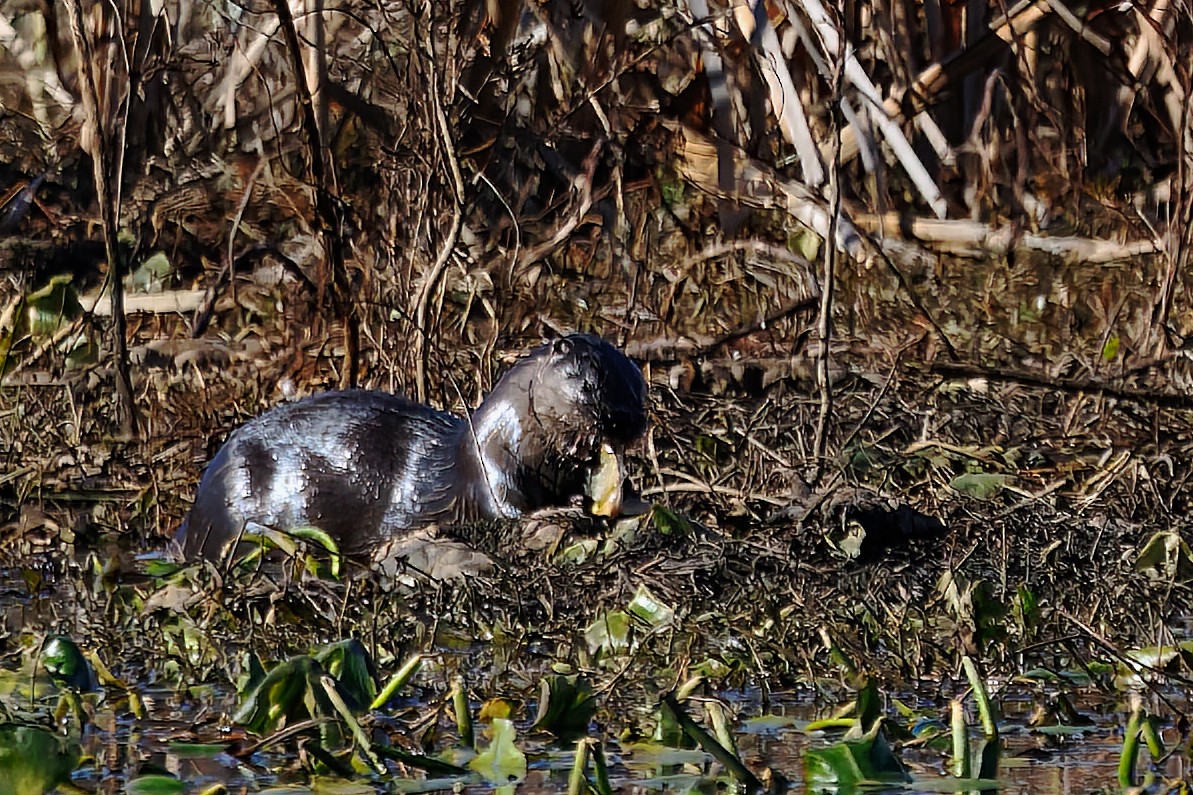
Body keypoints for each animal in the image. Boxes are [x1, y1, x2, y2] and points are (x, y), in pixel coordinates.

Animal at [179, 334, 648, 562]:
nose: (632, 423)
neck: (518, 437)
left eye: (640, 385)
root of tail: (195, 514)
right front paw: (563, 510)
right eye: (590, 387)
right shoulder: (491, 469)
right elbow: (508, 511)